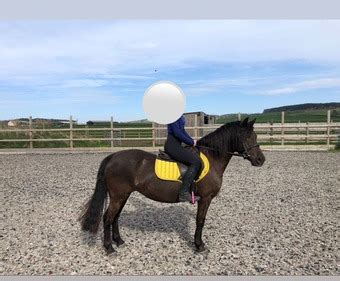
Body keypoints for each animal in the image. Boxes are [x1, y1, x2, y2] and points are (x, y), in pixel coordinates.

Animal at [79, 117, 266, 253]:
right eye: (247, 137)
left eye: (256, 136)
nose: (260, 160)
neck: (212, 158)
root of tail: (113, 157)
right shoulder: (205, 198)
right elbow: (200, 221)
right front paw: (199, 246)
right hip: (118, 195)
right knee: (108, 218)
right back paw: (109, 248)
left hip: (123, 195)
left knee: (115, 217)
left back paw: (119, 241)